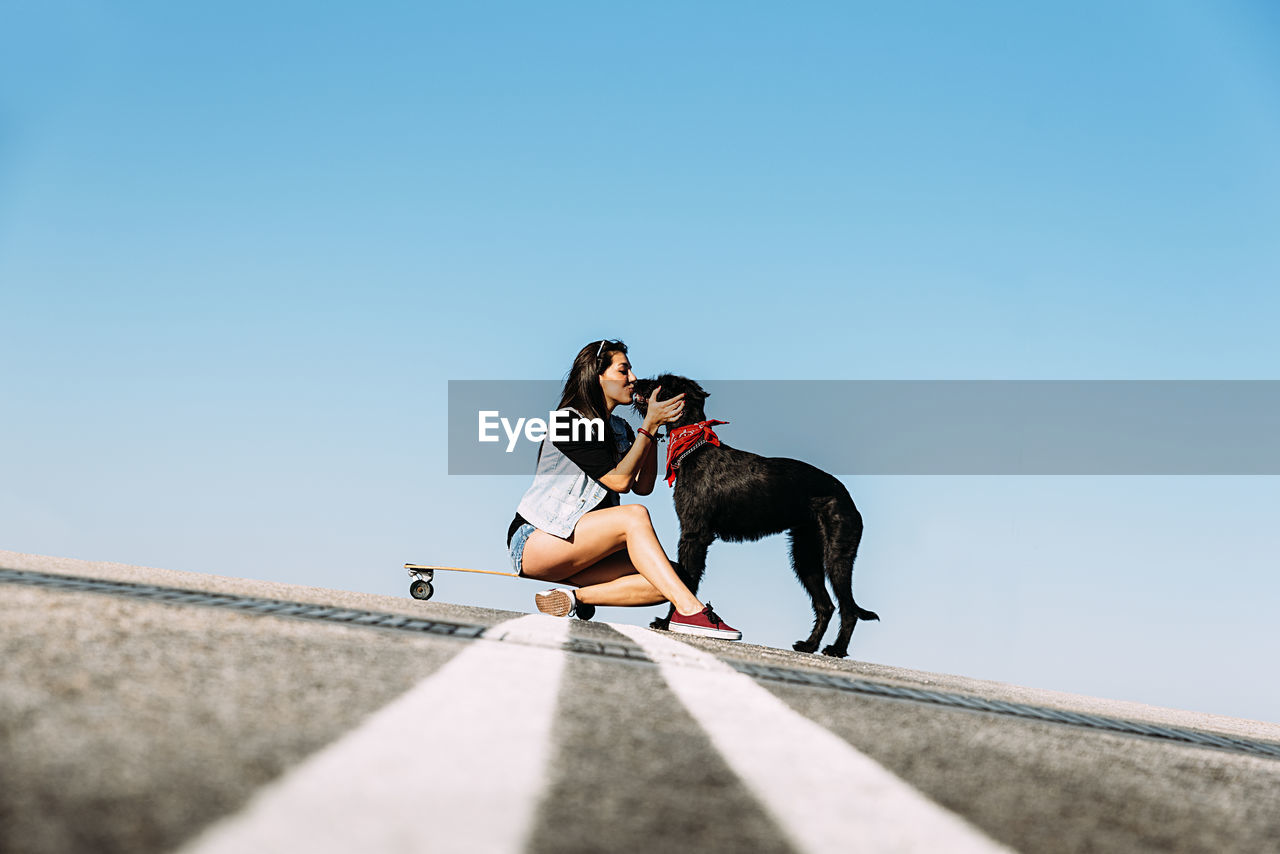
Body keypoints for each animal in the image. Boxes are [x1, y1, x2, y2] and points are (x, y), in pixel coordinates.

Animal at [632, 376, 880, 660]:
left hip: (837, 558)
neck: (693, 446)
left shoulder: (694, 535)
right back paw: (809, 645)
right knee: (825, 605)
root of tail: (847, 497)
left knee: (848, 609)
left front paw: (668, 622)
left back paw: (836, 649)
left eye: (662, 382)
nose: (636, 383)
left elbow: (685, 579)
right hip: (805, 558)